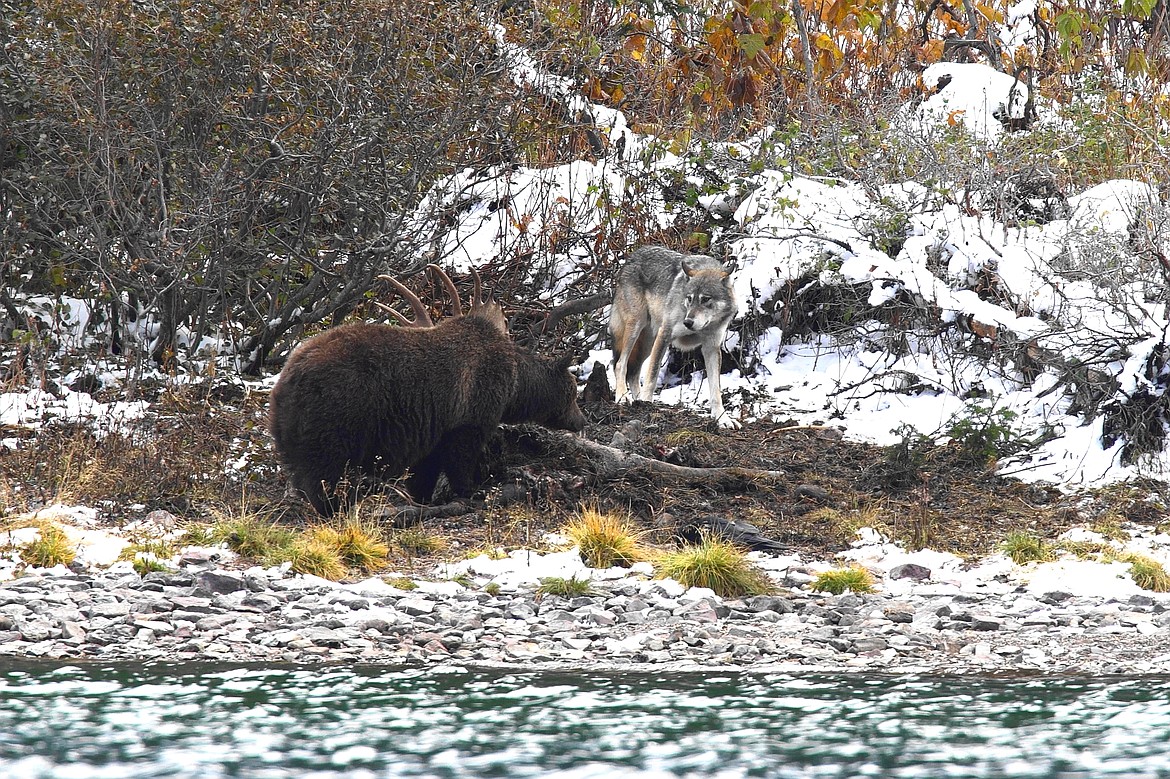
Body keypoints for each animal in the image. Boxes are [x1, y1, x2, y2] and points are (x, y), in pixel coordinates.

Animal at [271, 264, 585, 512]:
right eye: (572, 393)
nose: (581, 421)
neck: (513, 384)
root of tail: (287, 378)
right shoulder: (471, 407)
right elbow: (460, 455)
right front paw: (471, 490)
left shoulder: (432, 428)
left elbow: (426, 468)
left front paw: (422, 495)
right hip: (339, 412)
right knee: (323, 472)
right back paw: (333, 505)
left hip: (293, 426)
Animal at [608, 243, 734, 425]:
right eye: (689, 298)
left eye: (705, 299)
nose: (687, 322)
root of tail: (632, 256)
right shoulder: (665, 335)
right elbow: (652, 376)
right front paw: (647, 403)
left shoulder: (711, 348)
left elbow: (716, 390)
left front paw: (722, 418)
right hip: (636, 328)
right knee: (620, 364)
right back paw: (623, 397)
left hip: (647, 344)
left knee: (633, 372)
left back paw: (636, 400)